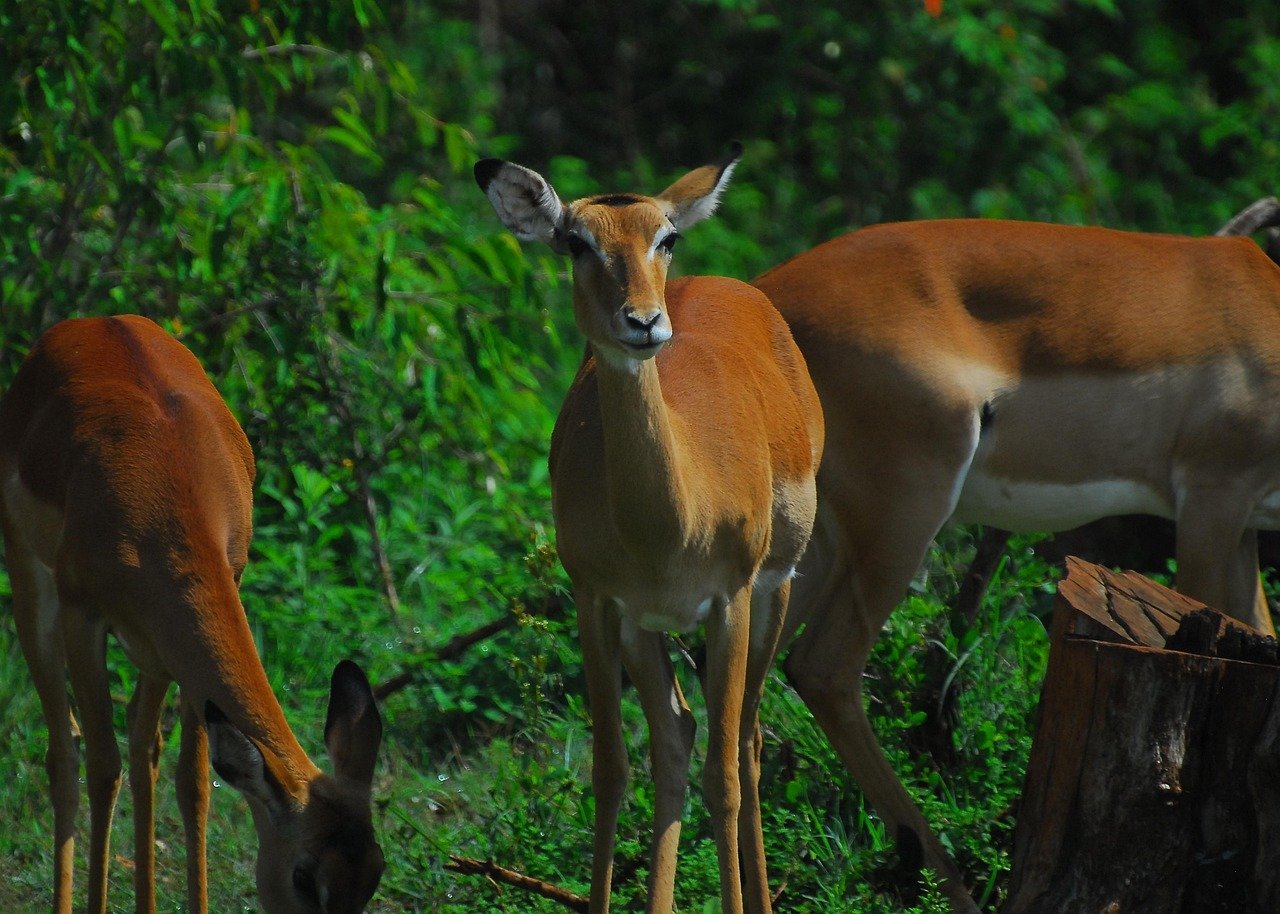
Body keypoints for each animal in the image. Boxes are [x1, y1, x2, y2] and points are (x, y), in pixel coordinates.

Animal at [0, 315, 385, 914]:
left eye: (374, 872)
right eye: (303, 877)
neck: (170, 487)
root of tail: (91, 323)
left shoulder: (190, 622)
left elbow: (194, 779)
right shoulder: (83, 618)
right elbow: (102, 767)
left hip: (155, 648)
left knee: (145, 750)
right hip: (31, 585)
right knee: (66, 753)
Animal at [475, 146, 823, 914]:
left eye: (666, 238)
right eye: (575, 242)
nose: (643, 322)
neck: (670, 521)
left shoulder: (730, 600)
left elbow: (722, 778)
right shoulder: (599, 602)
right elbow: (610, 771)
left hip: (777, 590)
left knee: (746, 742)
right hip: (648, 629)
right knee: (676, 736)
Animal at [752, 216, 1280, 912]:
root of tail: (764, 295)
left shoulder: (1244, 527)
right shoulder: (1213, 502)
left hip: (813, 546)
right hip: (903, 513)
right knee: (821, 667)